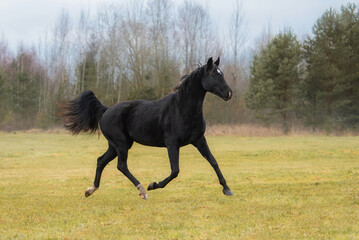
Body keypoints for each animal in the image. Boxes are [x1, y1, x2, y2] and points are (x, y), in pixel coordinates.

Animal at [60, 56, 235, 199]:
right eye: (213, 75)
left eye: (222, 73)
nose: (229, 93)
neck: (182, 109)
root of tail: (106, 109)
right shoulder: (172, 144)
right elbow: (175, 171)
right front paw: (153, 185)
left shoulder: (199, 139)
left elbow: (213, 162)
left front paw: (227, 189)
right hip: (121, 144)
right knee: (121, 166)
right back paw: (143, 190)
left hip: (115, 145)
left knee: (101, 161)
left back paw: (90, 190)